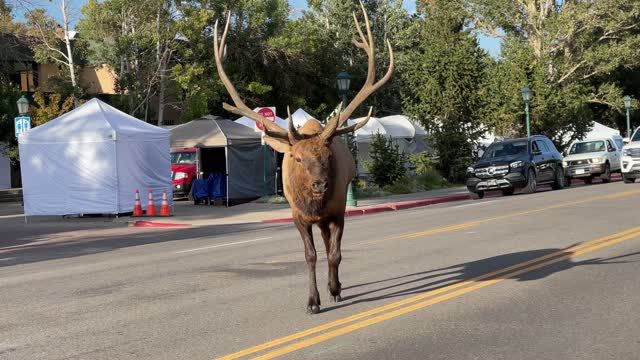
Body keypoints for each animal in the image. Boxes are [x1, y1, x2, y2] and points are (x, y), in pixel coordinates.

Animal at [215, 1, 392, 314]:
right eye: (297, 158)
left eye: (328, 154)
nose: (320, 184)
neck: (315, 204)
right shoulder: (298, 215)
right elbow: (310, 256)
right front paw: (312, 301)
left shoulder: (338, 211)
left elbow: (335, 254)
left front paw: (333, 290)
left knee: (331, 246)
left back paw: (337, 285)